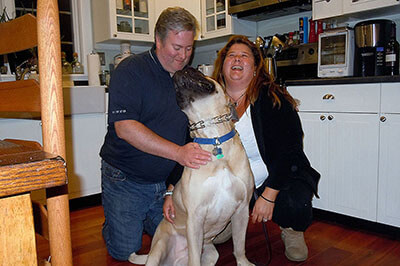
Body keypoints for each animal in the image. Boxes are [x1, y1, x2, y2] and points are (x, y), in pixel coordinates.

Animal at [145, 67, 255, 266]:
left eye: (200, 71)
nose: (184, 68)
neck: (214, 137)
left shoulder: (242, 210)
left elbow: (239, 245)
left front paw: (243, 262)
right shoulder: (195, 218)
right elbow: (194, 258)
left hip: (211, 253)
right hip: (158, 248)